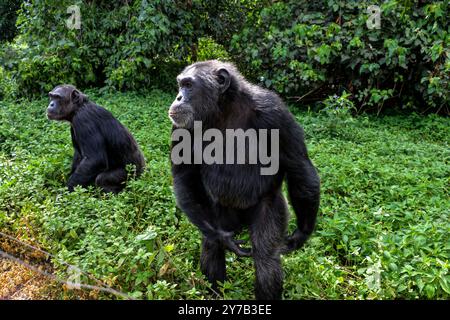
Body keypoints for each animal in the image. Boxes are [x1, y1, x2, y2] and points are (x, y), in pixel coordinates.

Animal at [169, 60, 320, 300]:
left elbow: (299, 166)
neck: (223, 110)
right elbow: (184, 175)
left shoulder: (275, 113)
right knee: (211, 244)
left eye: (188, 85)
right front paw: (222, 239)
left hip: (270, 204)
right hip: (220, 211)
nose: (178, 98)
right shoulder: (179, 126)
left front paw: (301, 234)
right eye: (180, 84)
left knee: (266, 256)